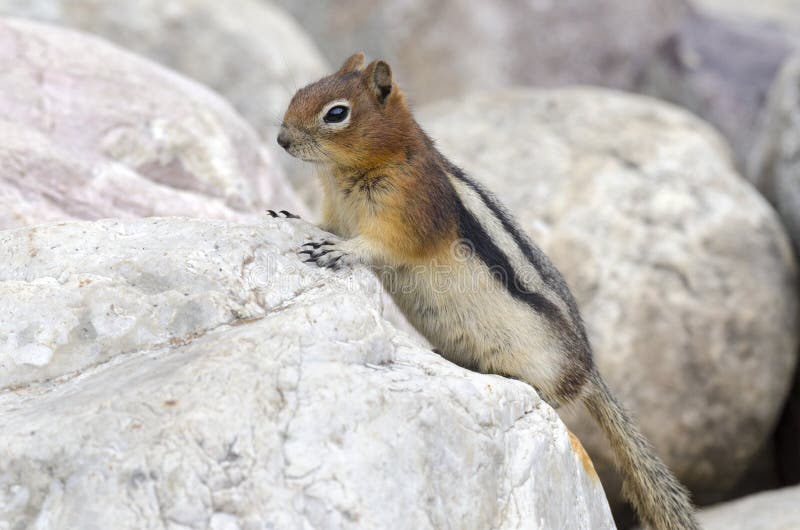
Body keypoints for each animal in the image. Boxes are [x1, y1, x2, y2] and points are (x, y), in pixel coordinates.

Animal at [276, 52, 699, 530]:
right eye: (300, 92)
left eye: (336, 113)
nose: (281, 139)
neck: (355, 170)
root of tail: (590, 372)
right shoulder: (336, 210)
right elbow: (324, 223)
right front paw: (291, 215)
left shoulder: (409, 211)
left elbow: (380, 246)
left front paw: (339, 251)